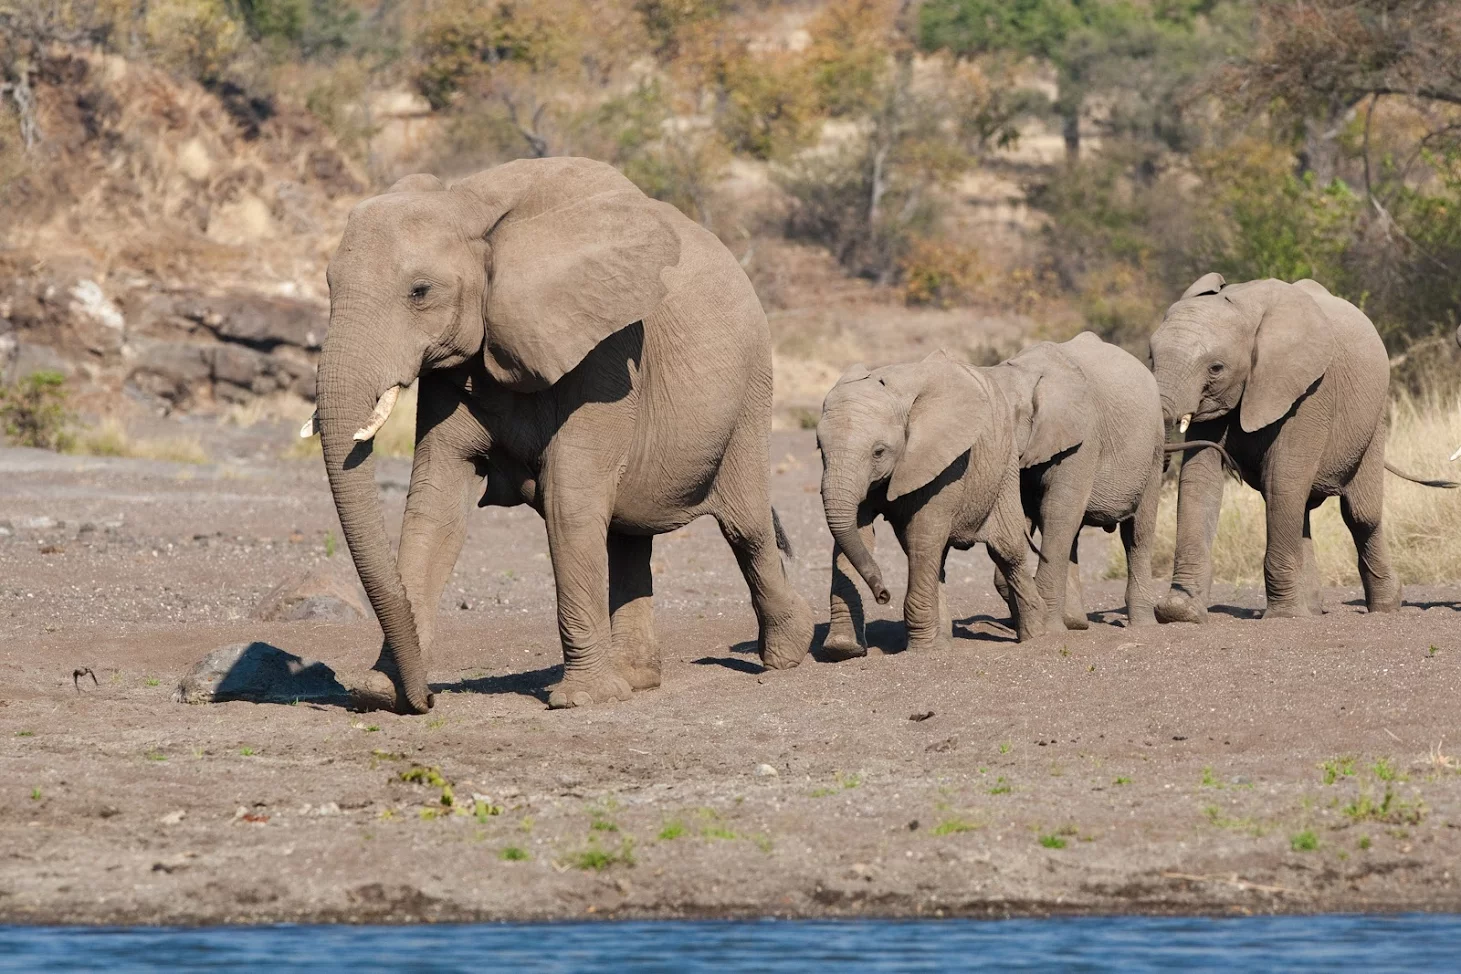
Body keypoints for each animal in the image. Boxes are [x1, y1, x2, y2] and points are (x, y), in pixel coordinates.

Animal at [303, 156, 814, 714]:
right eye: (327, 284)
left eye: (420, 292)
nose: (428, 700)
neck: (469, 203)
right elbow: (433, 503)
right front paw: (380, 693)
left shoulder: (607, 352)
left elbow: (568, 498)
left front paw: (581, 700)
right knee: (628, 535)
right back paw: (636, 680)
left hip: (750, 392)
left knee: (746, 527)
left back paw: (787, 654)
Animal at [818, 350, 1047, 660]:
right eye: (820, 450)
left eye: (878, 452)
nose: (883, 595)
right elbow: (858, 535)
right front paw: (843, 648)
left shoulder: (946, 460)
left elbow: (923, 536)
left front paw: (921, 652)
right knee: (936, 559)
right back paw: (944, 643)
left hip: (1006, 467)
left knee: (1007, 551)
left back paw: (1037, 636)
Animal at [984, 332, 1165, 632]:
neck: (1026, 372)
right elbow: (1025, 516)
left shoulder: (1083, 437)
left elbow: (1058, 511)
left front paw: (1049, 629)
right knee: (1074, 533)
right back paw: (1076, 622)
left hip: (1154, 448)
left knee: (1137, 532)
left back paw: (1142, 626)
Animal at [1150, 273, 1455, 624]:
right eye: (1150, 358)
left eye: (1216, 368)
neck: (1245, 308)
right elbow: (1200, 480)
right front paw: (1179, 612)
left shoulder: (1310, 392)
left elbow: (1283, 479)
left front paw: (1282, 618)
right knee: (1301, 509)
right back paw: (1310, 611)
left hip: (1373, 420)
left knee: (1359, 514)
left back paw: (1384, 608)